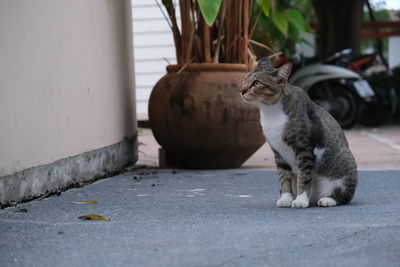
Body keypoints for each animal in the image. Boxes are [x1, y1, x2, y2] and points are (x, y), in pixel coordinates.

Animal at [239, 58, 358, 209]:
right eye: (244, 80)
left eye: (256, 83)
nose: (241, 90)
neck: (271, 112)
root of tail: (314, 197)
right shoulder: (278, 151)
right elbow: (284, 176)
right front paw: (286, 198)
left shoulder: (304, 148)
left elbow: (304, 176)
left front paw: (301, 200)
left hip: (345, 165)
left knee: (345, 195)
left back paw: (326, 199)